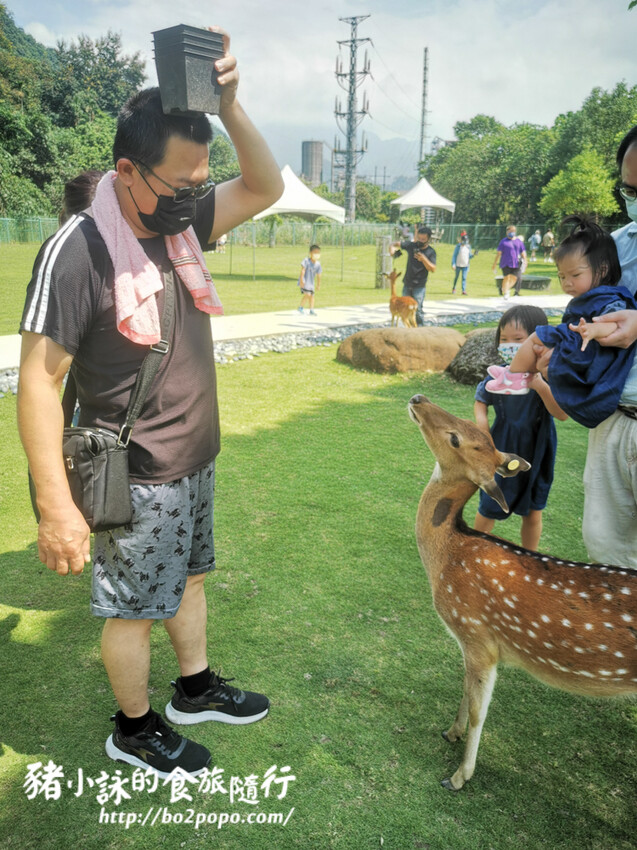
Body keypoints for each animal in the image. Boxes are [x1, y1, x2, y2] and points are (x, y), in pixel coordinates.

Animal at [408, 393, 637, 792]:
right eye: (468, 427)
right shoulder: (470, 644)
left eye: (454, 438)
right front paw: (450, 733)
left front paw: (459, 776)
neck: (447, 557)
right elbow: (464, 689)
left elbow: (478, 709)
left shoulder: (477, 635)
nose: (419, 398)